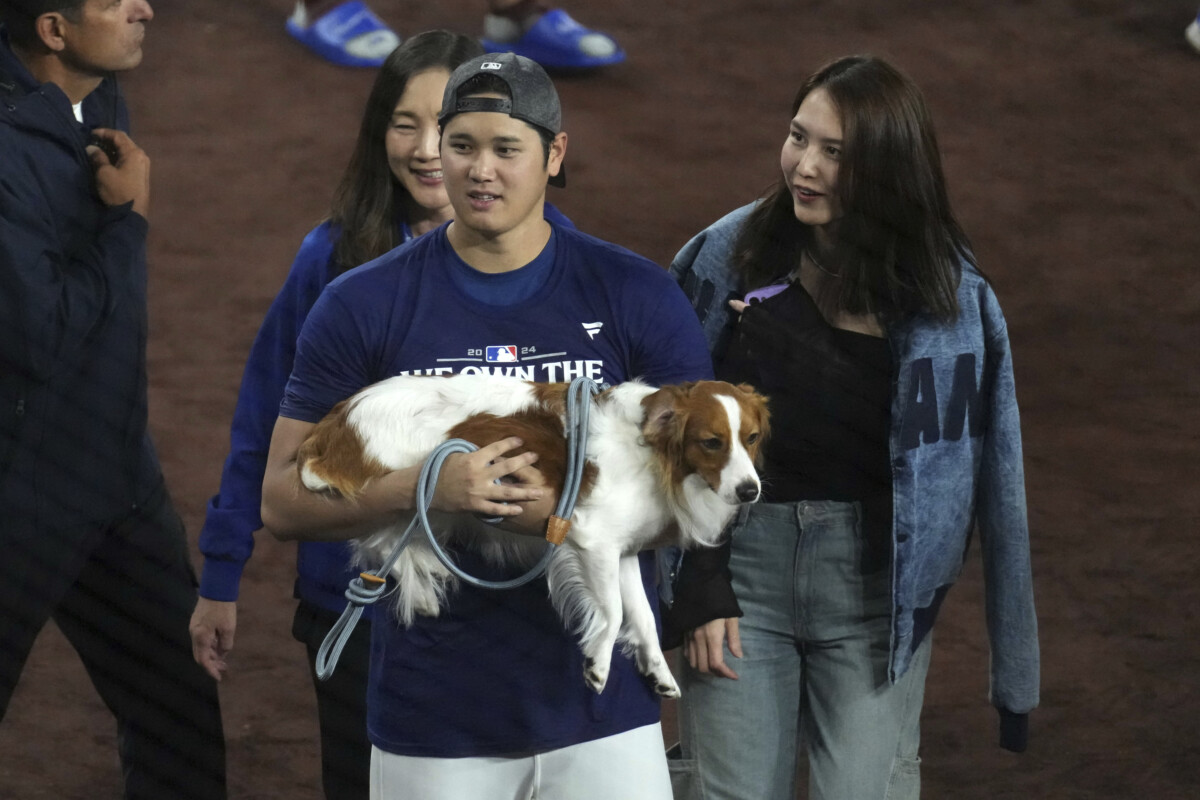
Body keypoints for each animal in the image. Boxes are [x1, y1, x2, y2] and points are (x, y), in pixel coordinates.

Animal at [298, 374, 768, 695]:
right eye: (711, 442)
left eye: (752, 438)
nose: (751, 491)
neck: (652, 450)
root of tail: (336, 422)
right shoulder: (592, 541)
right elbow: (614, 612)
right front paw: (598, 664)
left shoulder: (620, 553)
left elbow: (644, 617)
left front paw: (658, 670)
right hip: (400, 494)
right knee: (382, 540)